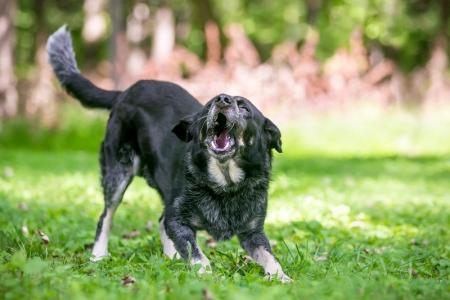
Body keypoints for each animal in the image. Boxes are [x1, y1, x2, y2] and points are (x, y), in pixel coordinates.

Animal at [46, 26, 292, 284]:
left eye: (244, 107)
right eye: (208, 106)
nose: (221, 99)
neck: (226, 184)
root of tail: (124, 93)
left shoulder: (253, 232)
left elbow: (270, 257)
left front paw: (283, 278)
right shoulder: (179, 220)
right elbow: (197, 253)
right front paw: (204, 274)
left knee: (159, 221)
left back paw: (171, 258)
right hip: (118, 173)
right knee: (106, 216)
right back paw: (98, 255)